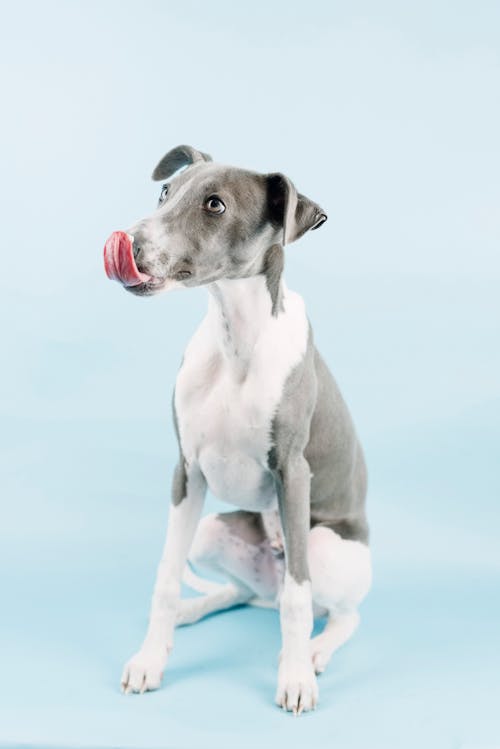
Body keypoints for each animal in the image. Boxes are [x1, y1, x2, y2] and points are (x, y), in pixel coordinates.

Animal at [103, 143, 372, 712]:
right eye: (165, 192)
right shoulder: (186, 473)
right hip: (211, 533)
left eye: (215, 205)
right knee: (246, 593)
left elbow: (298, 598)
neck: (236, 341)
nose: (127, 243)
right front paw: (150, 660)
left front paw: (296, 679)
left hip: (326, 546)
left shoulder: (293, 474)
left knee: (333, 610)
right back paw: (196, 611)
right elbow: (165, 577)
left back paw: (314, 652)